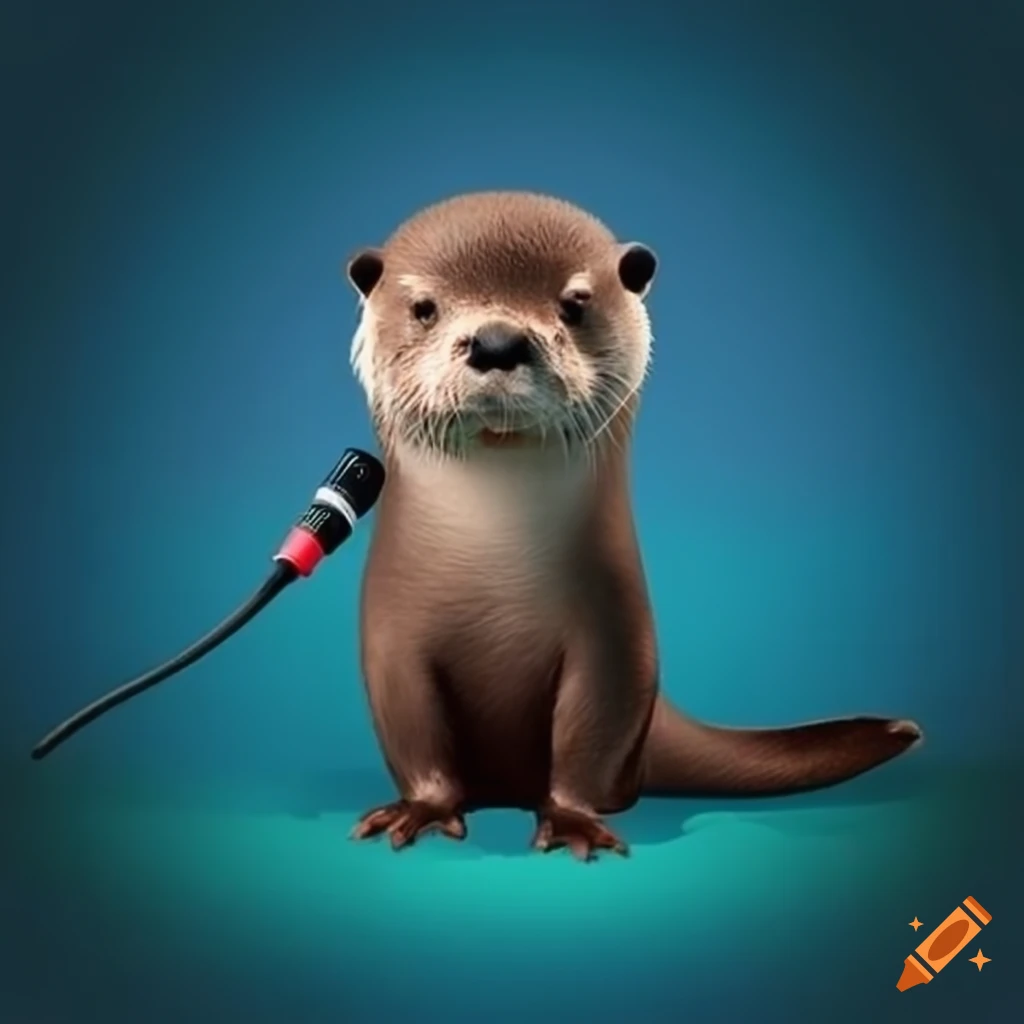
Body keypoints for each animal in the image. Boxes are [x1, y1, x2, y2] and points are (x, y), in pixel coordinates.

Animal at [343, 191, 921, 860]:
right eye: (425, 307)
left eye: (574, 302)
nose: (496, 340)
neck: (494, 569)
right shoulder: (393, 644)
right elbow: (414, 731)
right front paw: (424, 809)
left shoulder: (614, 636)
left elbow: (588, 732)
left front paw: (571, 820)